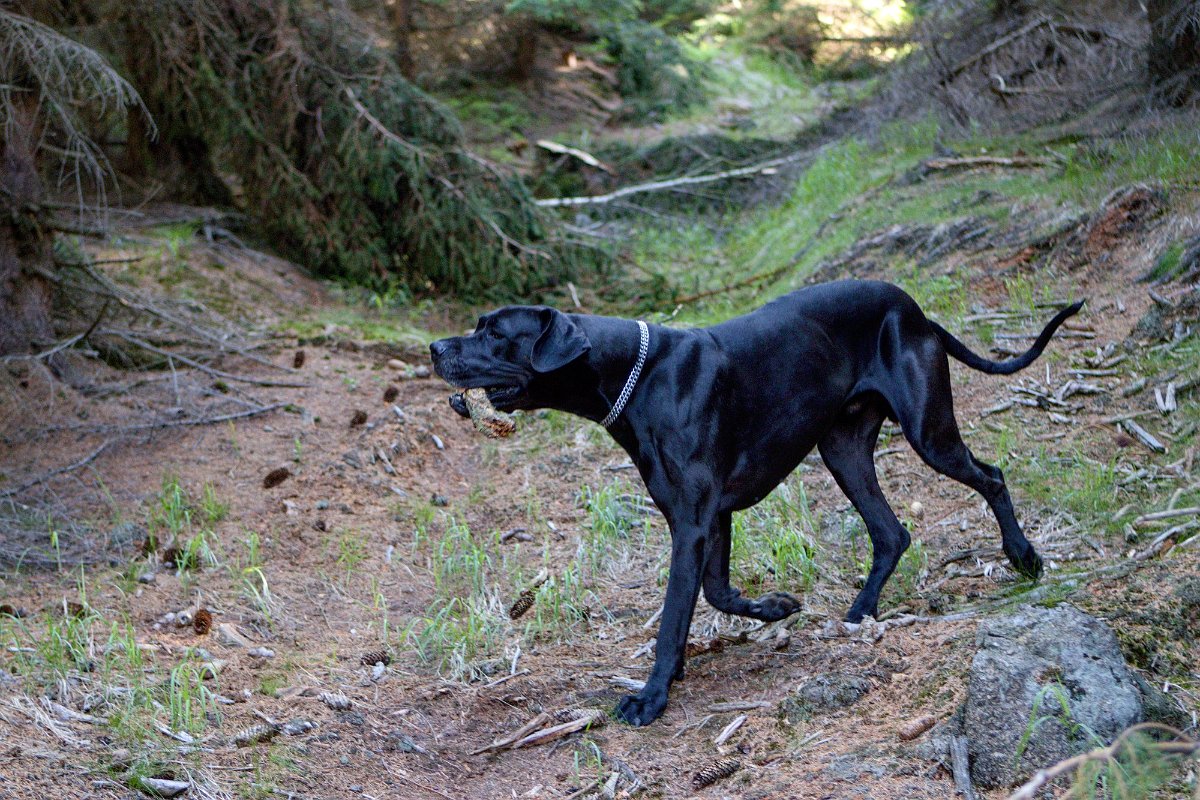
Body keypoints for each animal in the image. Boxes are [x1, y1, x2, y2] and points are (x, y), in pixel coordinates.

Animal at [429, 280, 1080, 724]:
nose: (434, 347)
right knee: (892, 532)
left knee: (991, 477)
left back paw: (1023, 557)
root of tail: (916, 309)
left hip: (928, 432)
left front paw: (651, 696)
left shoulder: (693, 522)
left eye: (494, 332)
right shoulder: (709, 517)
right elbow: (716, 593)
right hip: (843, 450)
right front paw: (775, 607)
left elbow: (674, 613)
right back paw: (861, 611)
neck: (635, 375)